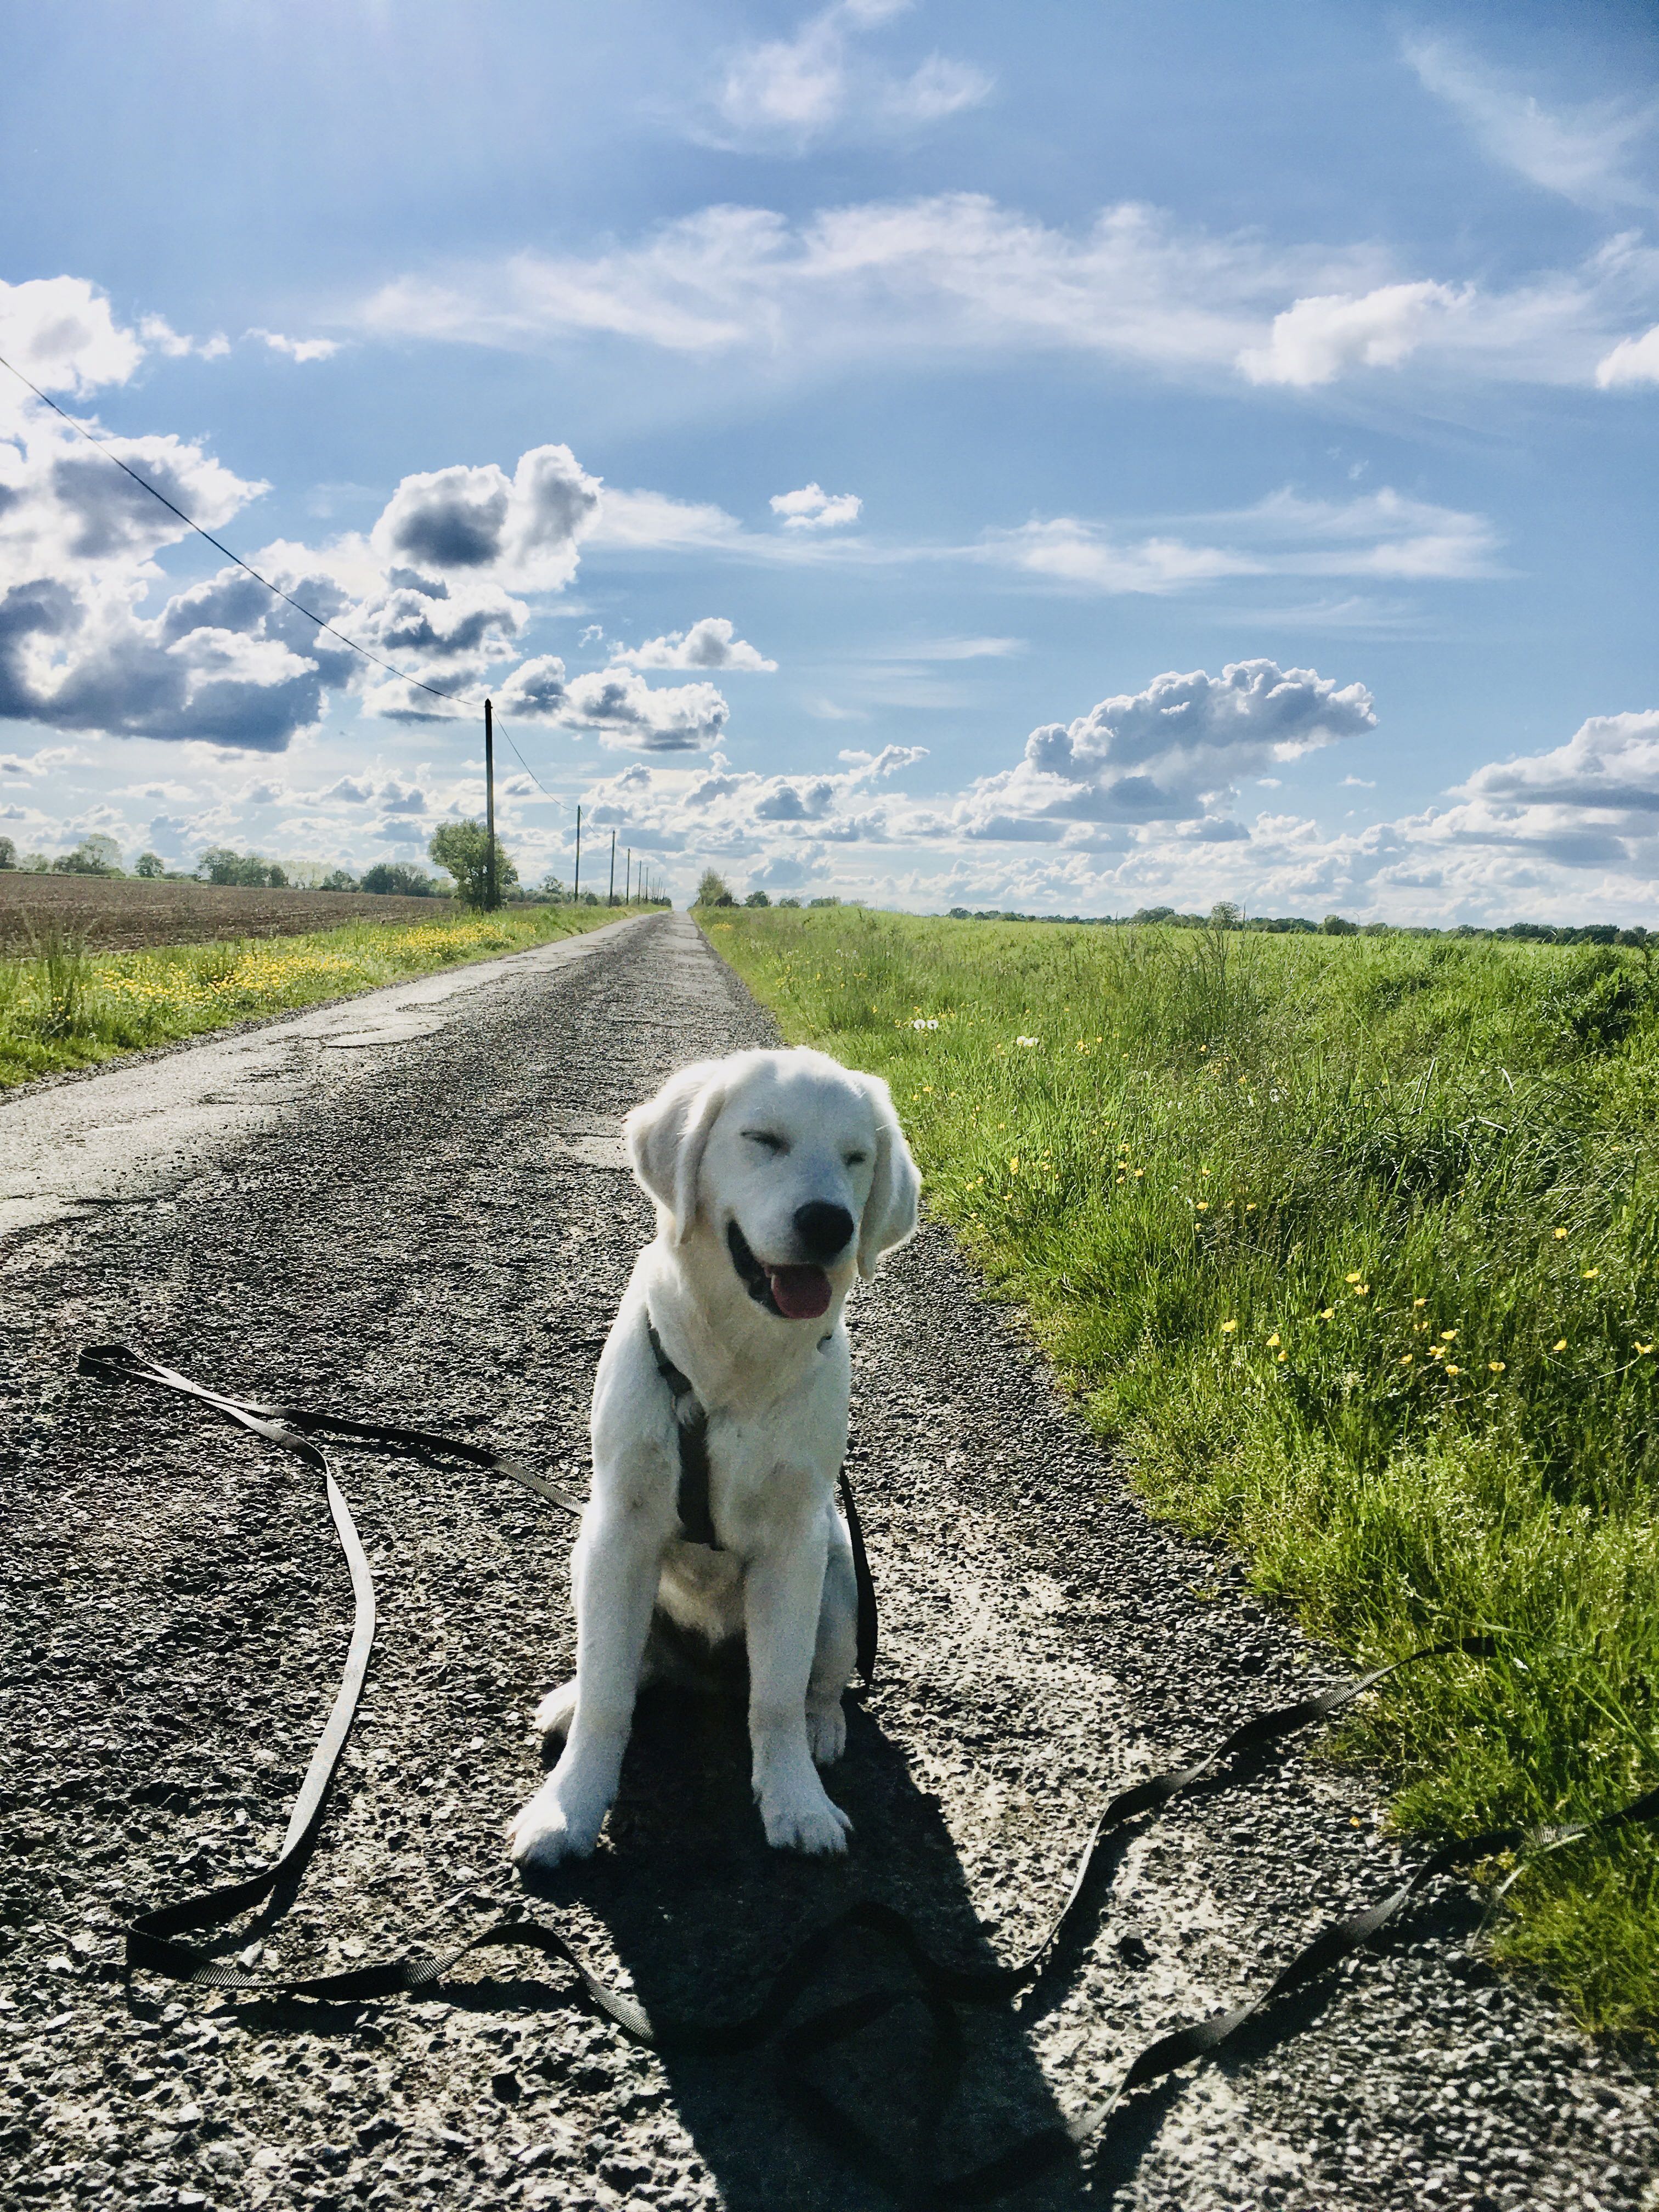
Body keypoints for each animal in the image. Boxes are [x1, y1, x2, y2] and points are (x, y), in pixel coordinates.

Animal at [506, 1048, 924, 1867]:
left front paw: (796, 1802)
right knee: (622, 1667)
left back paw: (824, 1727)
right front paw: (568, 1810)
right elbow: (609, 1697)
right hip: (589, 1556)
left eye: (857, 1158)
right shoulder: (622, 1529)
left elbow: (778, 1698)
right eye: (762, 1140)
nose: (830, 1223)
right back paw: (573, 1699)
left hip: (839, 1576)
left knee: (818, 1682)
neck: (738, 1365)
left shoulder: (795, 1545)